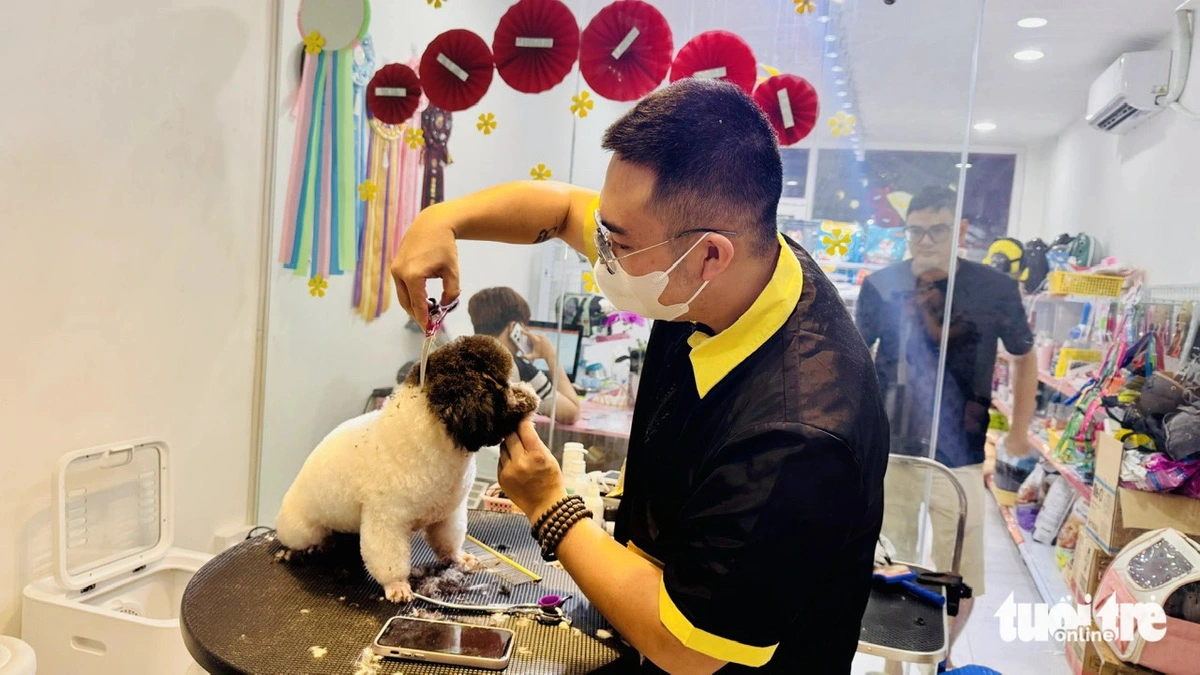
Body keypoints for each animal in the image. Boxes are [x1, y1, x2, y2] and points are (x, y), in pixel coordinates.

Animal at [276, 333, 540, 600]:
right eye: (502, 385)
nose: (531, 393)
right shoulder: (386, 522)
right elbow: (389, 561)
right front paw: (397, 586)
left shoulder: (448, 514)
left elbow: (449, 542)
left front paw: (459, 559)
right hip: (303, 529)